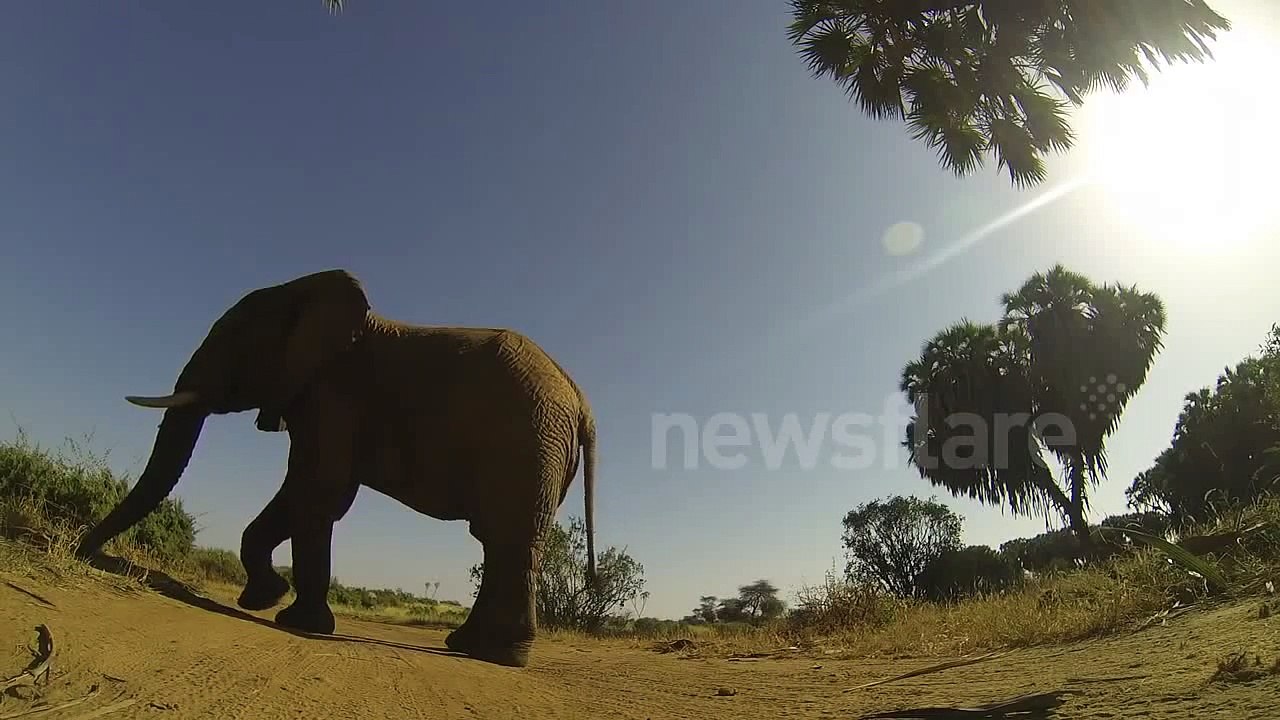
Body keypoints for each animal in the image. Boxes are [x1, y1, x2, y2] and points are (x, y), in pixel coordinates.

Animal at [73, 268, 599, 668]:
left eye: (233, 343)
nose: (82, 553)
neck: (300, 295)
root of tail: (582, 403)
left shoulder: (333, 396)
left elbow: (317, 491)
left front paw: (296, 622)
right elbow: (307, 494)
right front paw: (263, 599)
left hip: (528, 444)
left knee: (508, 540)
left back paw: (500, 657)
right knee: (499, 542)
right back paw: (469, 647)